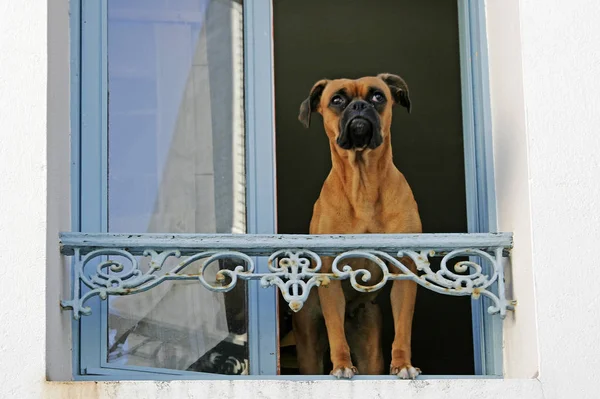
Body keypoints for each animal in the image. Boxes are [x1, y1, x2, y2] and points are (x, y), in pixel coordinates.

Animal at [296, 73, 422, 380]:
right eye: (337, 100)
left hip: (369, 344)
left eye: (378, 96)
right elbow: (335, 331)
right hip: (307, 346)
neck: (363, 181)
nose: (359, 106)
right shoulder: (329, 275)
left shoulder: (404, 274)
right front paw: (341, 365)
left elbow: (403, 328)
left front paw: (403, 364)